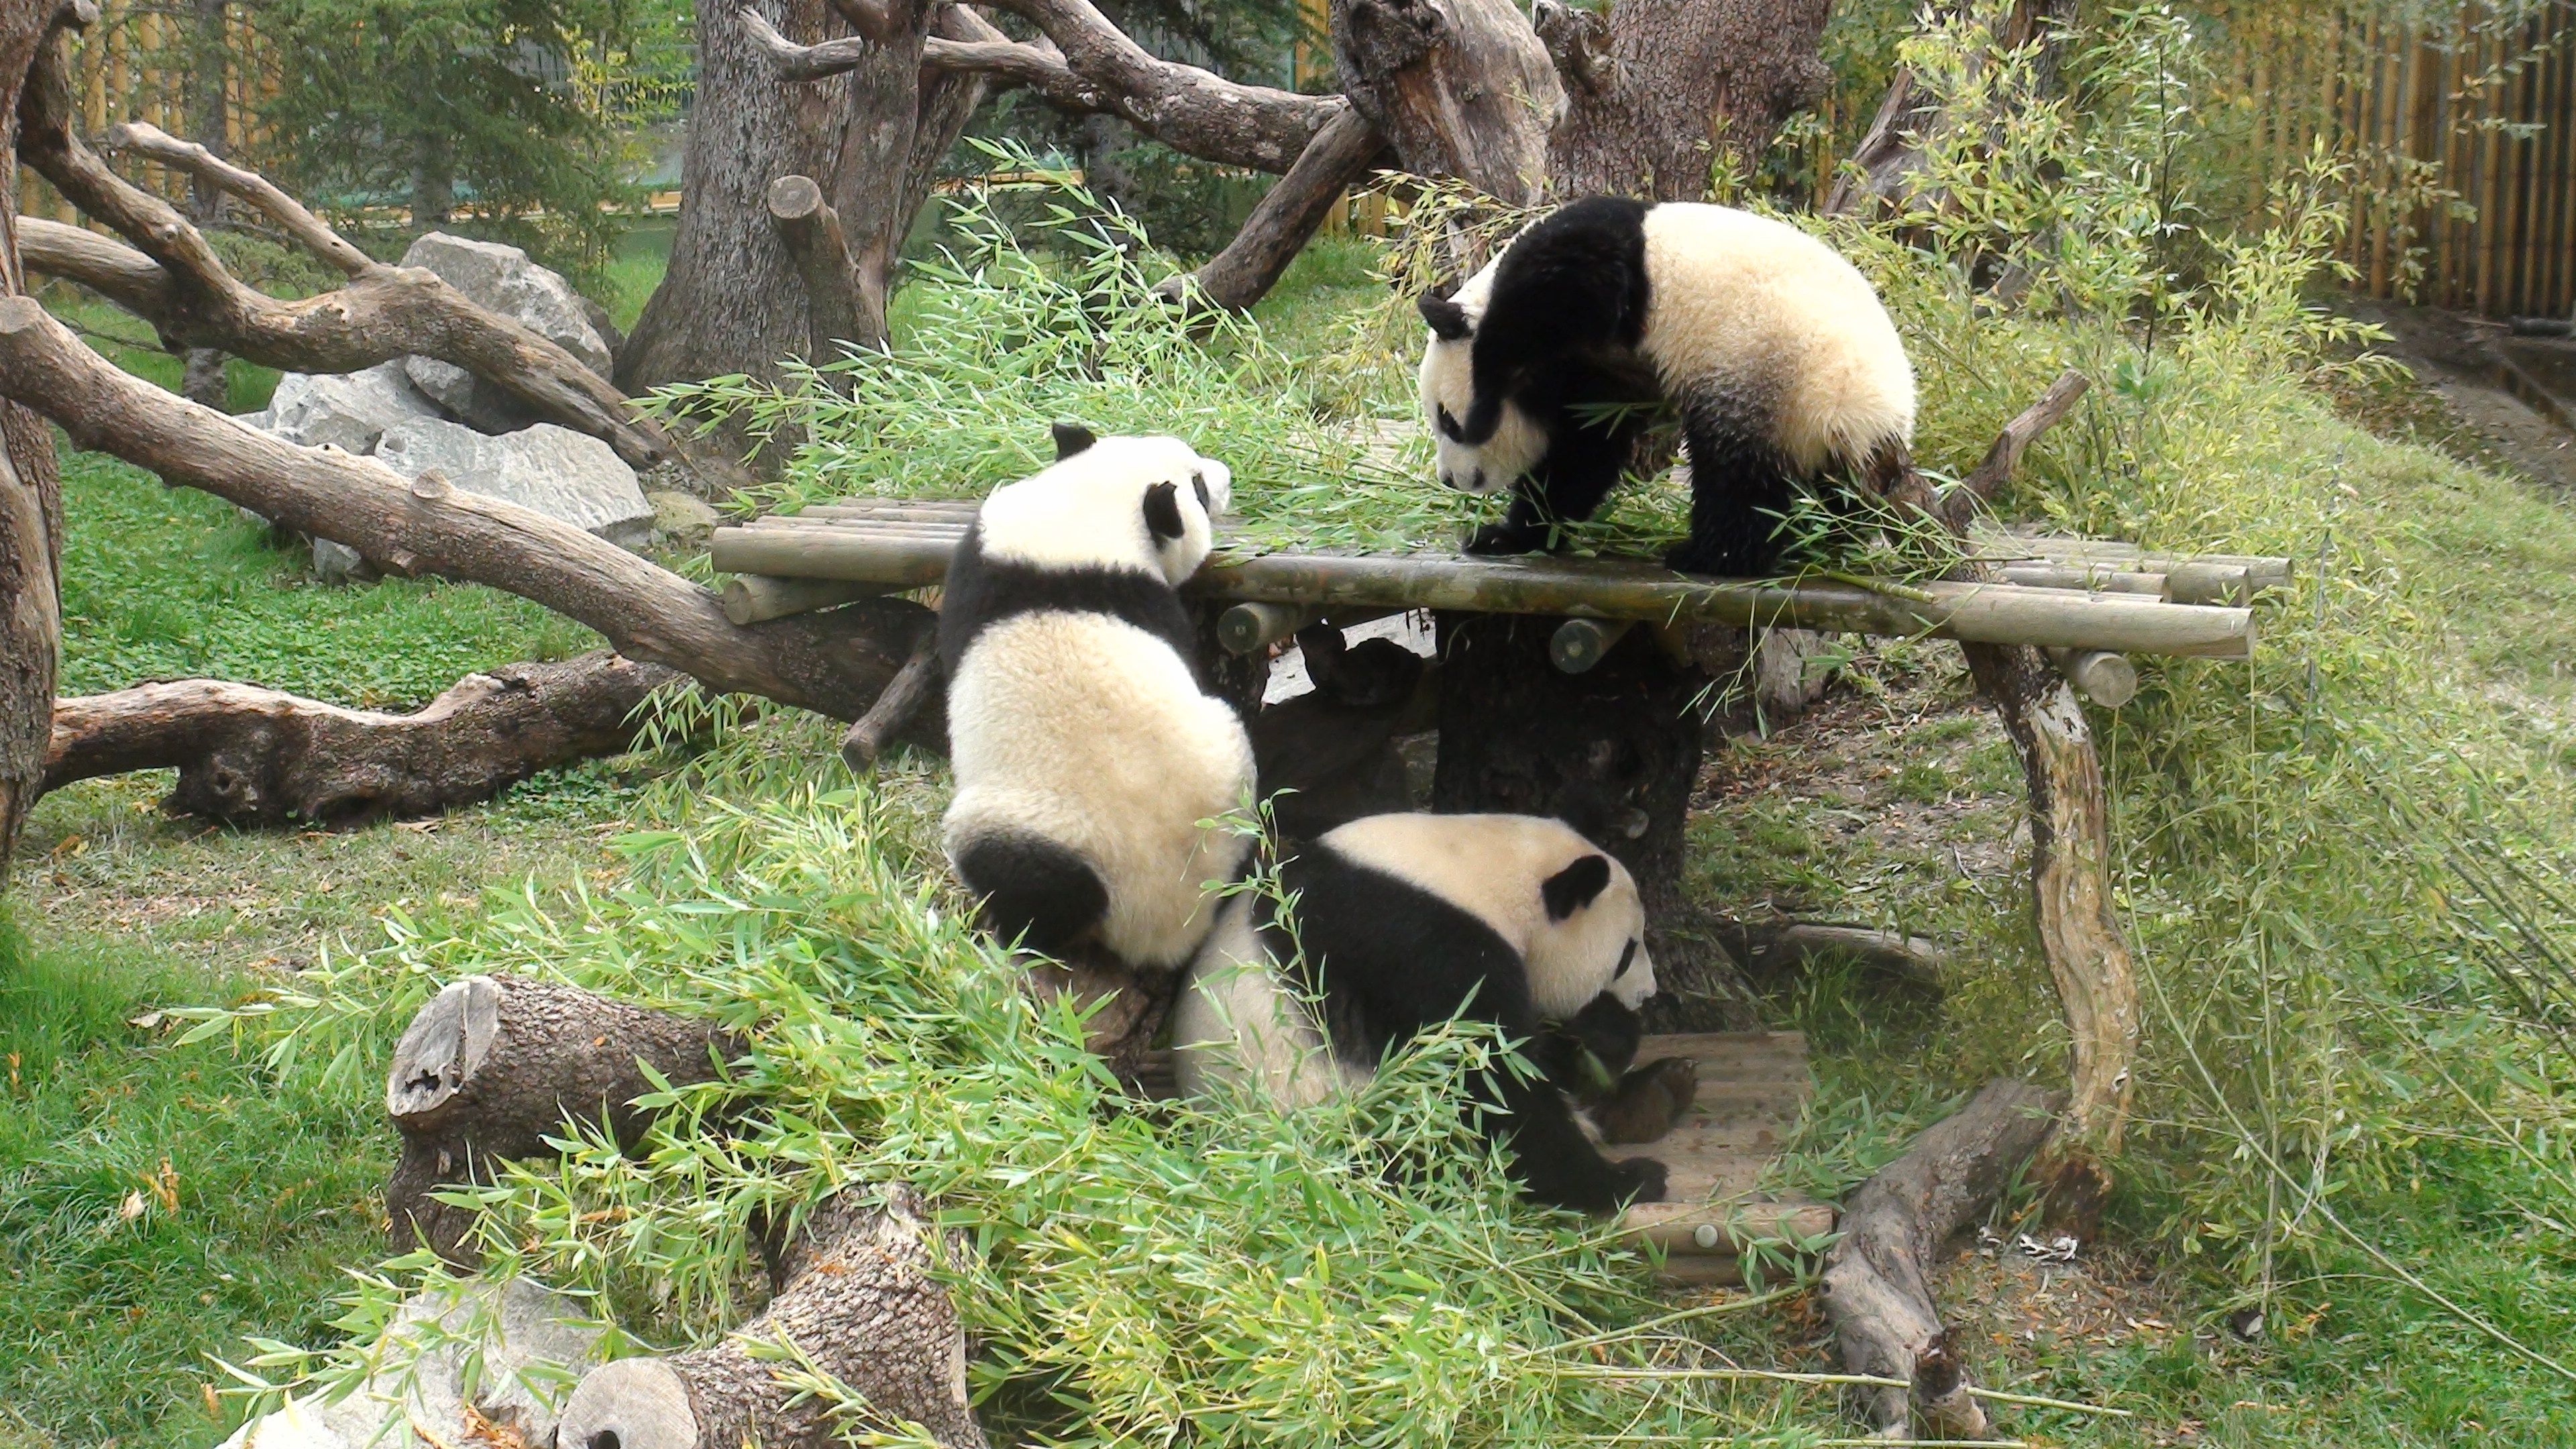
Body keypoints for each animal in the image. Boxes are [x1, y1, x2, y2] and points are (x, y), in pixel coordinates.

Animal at [1175, 814, 1690, 1206]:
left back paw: (1659, 1091)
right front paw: (1626, 1182)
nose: (1648, 993)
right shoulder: (1420, 946)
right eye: (1627, 951)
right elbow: (1489, 1082)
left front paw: (1609, 1034)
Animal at [1432, 195, 1916, 577]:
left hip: (1768, 372)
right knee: (1833, 496)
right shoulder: (1608, 370)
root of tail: (1866, 413)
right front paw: (1507, 536)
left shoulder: (1587, 279)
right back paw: (1819, 537)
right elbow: (1582, 450)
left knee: (1737, 473)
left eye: (1447, 420)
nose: (1450, 480)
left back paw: (1711, 556)